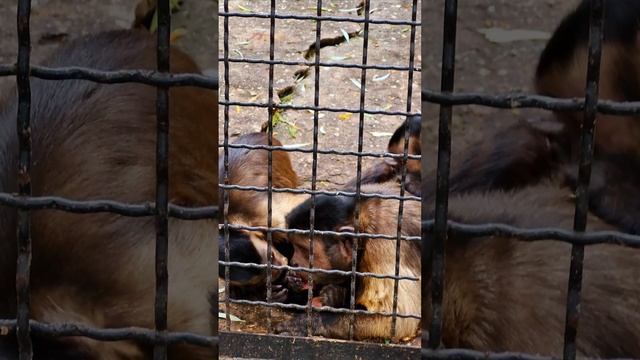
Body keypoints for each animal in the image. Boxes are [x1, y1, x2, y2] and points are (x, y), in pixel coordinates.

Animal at [274, 183, 420, 344]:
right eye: (294, 247)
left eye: (304, 250)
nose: (294, 262)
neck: (364, 226)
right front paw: (296, 289)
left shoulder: (384, 246)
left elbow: (394, 322)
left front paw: (308, 322)